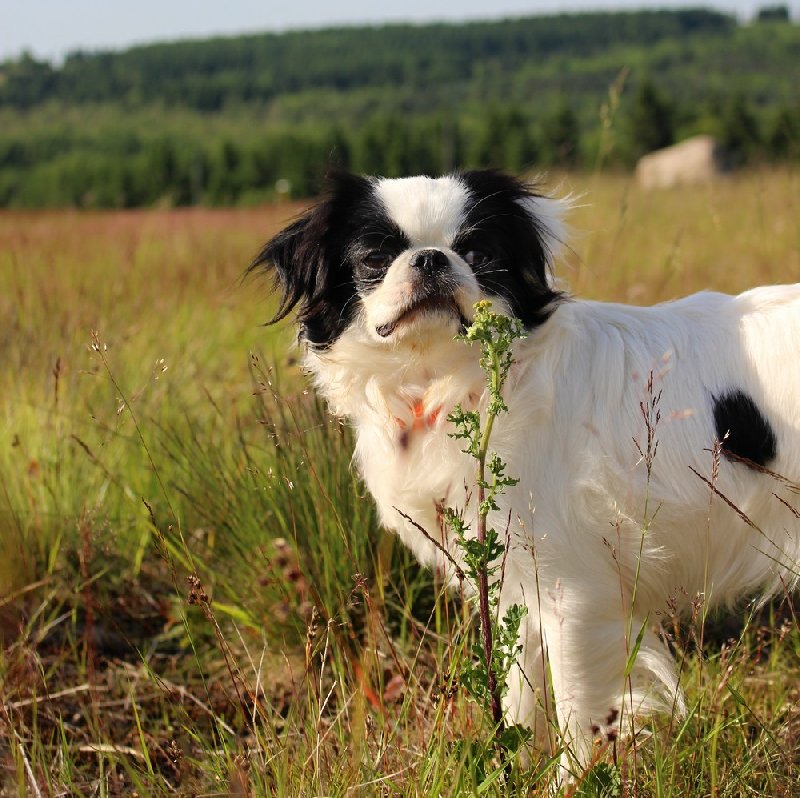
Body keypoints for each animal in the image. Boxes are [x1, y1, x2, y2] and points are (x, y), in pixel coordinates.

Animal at [253, 170, 800, 776]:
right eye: (374, 258)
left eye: (478, 254)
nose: (430, 258)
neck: (445, 383)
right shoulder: (513, 583)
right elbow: (515, 695)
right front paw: (506, 769)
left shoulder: (572, 594)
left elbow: (578, 712)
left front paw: (571, 780)